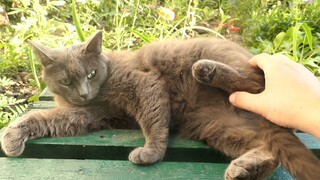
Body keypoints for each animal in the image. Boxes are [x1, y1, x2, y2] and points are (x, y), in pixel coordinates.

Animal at [1, 31, 318, 179]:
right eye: (66, 81)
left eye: (90, 74)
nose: (83, 93)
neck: (102, 90)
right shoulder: (82, 114)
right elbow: (43, 119)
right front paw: (12, 136)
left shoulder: (144, 83)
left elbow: (152, 119)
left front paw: (150, 152)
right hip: (217, 127)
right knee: (269, 152)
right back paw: (244, 170)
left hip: (244, 73)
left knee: (254, 82)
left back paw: (206, 70)